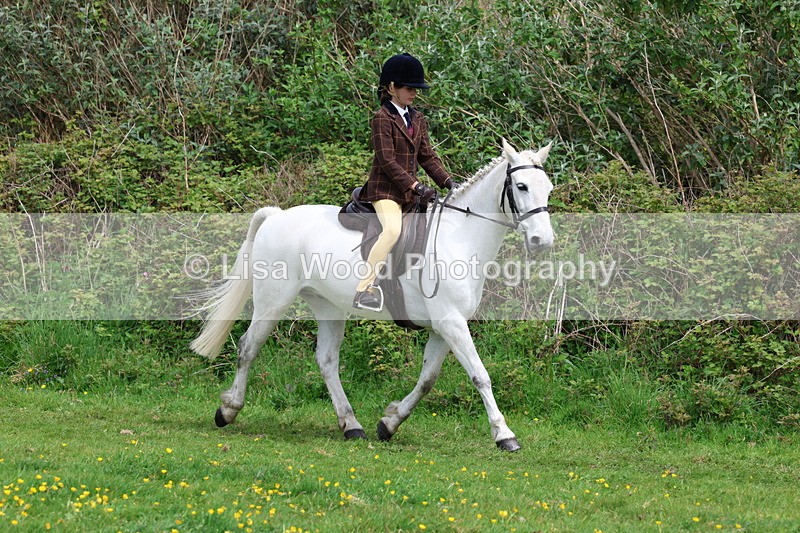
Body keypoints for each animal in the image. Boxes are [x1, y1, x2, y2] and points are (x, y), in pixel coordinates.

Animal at [190, 139, 554, 452]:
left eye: (547, 187)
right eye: (521, 186)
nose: (543, 241)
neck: (460, 238)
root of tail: (277, 216)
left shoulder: (444, 327)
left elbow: (427, 380)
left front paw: (389, 423)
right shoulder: (451, 323)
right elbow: (480, 376)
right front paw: (505, 435)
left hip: (328, 306)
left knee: (326, 360)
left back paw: (351, 425)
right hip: (273, 301)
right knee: (248, 347)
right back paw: (228, 410)